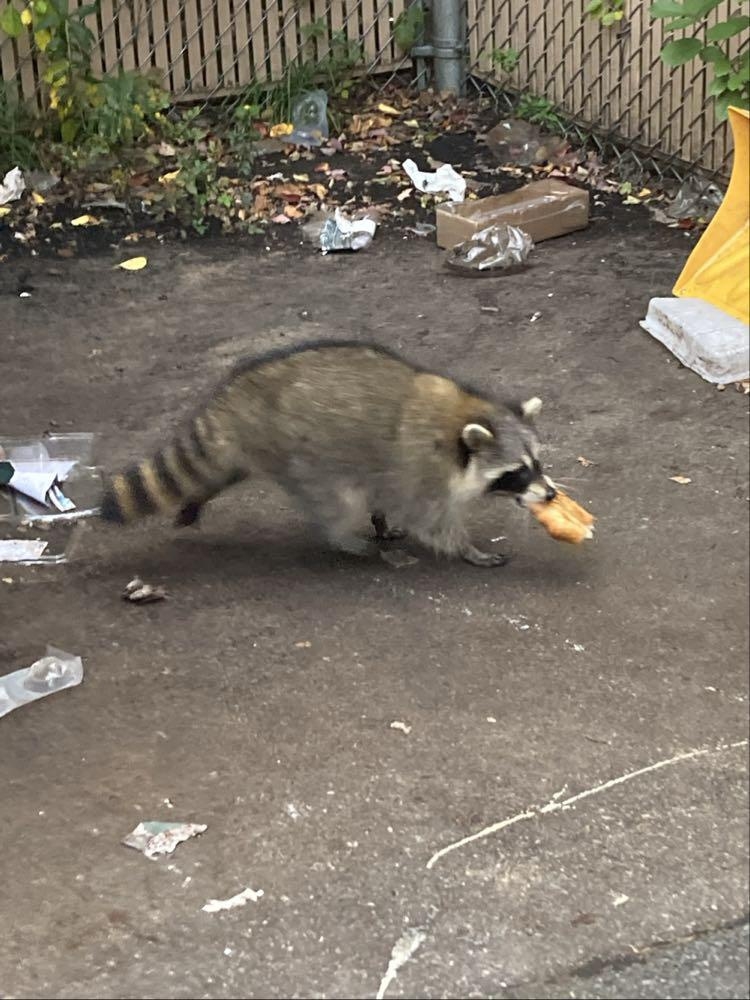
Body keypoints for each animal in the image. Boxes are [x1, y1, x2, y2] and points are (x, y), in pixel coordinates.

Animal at [100, 341, 554, 566]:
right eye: (517, 471)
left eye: (537, 463)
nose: (550, 494)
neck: (467, 415)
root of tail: (239, 392)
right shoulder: (420, 471)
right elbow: (431, 520)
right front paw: (466, 549)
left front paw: (382, 521)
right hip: (304, 456)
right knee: (337, 507)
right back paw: (349, 542)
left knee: (224, 467)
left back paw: (200, 494)